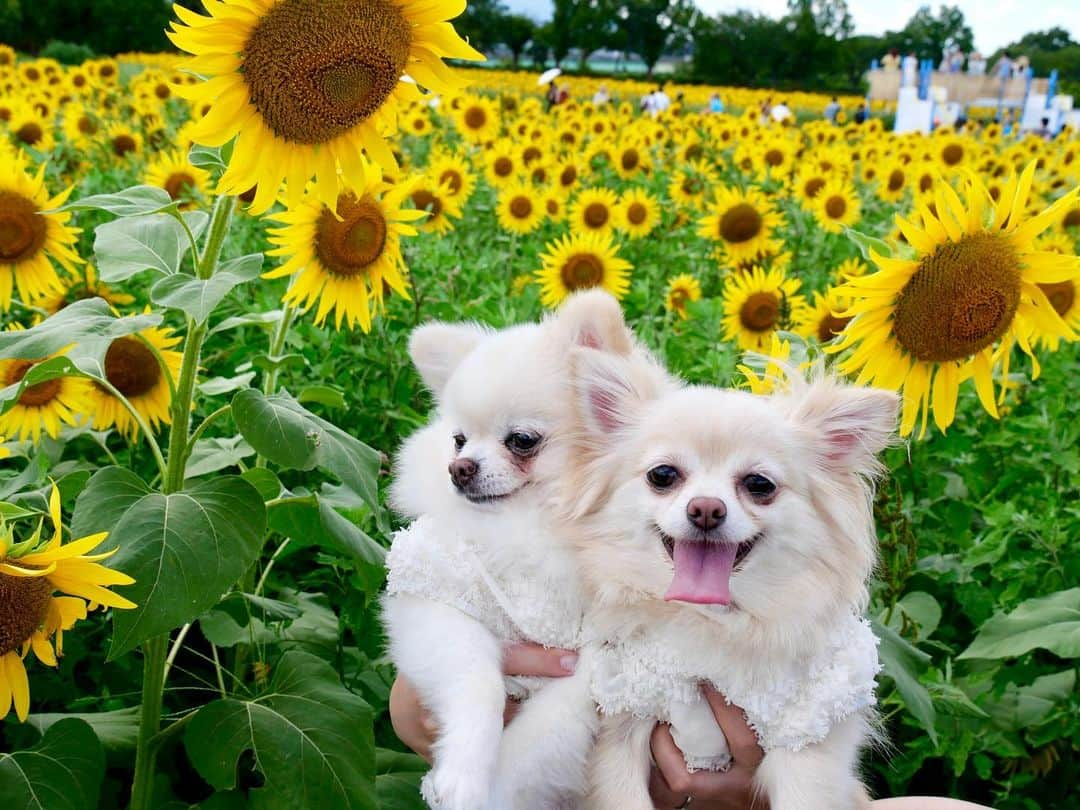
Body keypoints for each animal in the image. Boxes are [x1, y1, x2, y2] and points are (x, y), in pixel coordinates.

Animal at [384, 291, 643, 810]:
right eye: (458, 439)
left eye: (521, 441)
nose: (459, 468)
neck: (538, 526)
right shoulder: (440, 597)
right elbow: (476, 680)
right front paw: (463, 770)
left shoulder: (597, 664)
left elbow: (536, 741)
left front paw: (481, 790)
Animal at [570, 349, 898, 810]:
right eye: (662, 475)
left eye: (759, 484)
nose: (706, 508)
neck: (710, 622)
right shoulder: (620, 722)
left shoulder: (806, 740)